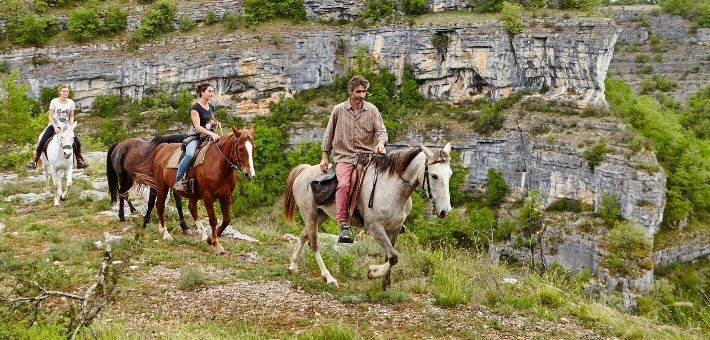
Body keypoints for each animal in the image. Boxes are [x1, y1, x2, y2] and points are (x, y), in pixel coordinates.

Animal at [286, 142, 454, 288]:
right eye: (434, 175)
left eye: (450, 175)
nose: (445, 211)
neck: (392, 188)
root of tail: (305, 170)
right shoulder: (375, 227)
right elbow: (393, 257)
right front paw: (373, 273)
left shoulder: (394, 229)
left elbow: (389, 255)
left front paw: (386, 283)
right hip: (309, 213)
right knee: (313, 243)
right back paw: (329, 277)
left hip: (321, 215)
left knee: (304, 235)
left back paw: (293, 265)